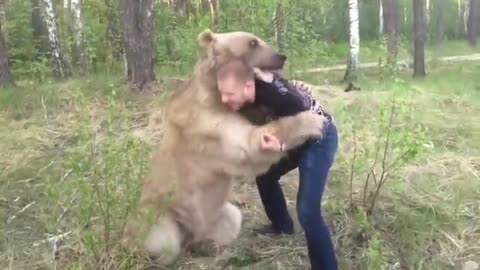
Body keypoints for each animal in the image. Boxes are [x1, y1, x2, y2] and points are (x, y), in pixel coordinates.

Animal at [121, 29, 330, 264]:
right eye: (252, 42)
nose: (280, 56)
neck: (215, 94)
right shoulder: (206, 124)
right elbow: (248, 146)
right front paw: (313, 121)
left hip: (219, 215)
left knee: (231, 218)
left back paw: (208, 246)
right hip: (158, 214)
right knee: (164, 240)